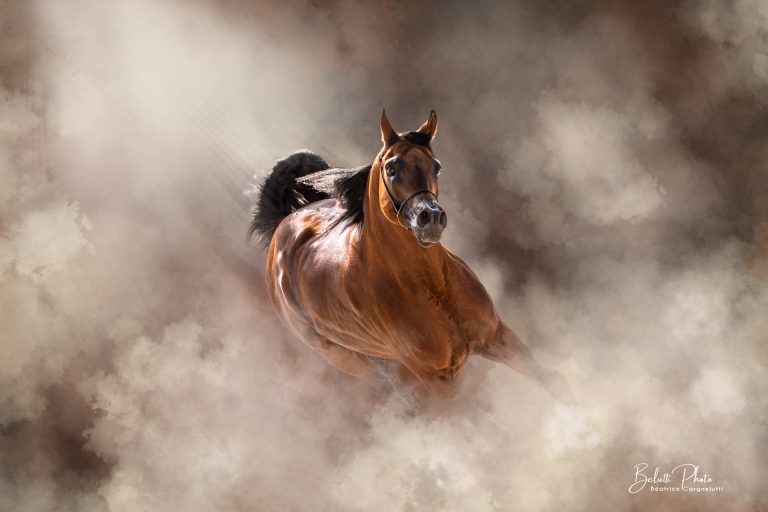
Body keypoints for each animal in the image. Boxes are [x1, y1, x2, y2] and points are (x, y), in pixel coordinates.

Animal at [250, 110, 570, 400]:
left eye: (436, 166)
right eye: (392, 168)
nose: (431, 219)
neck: (431, 285)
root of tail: (284, 223)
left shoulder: (498, 338)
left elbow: (552, 382)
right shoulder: (438, 379)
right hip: (356, 362)